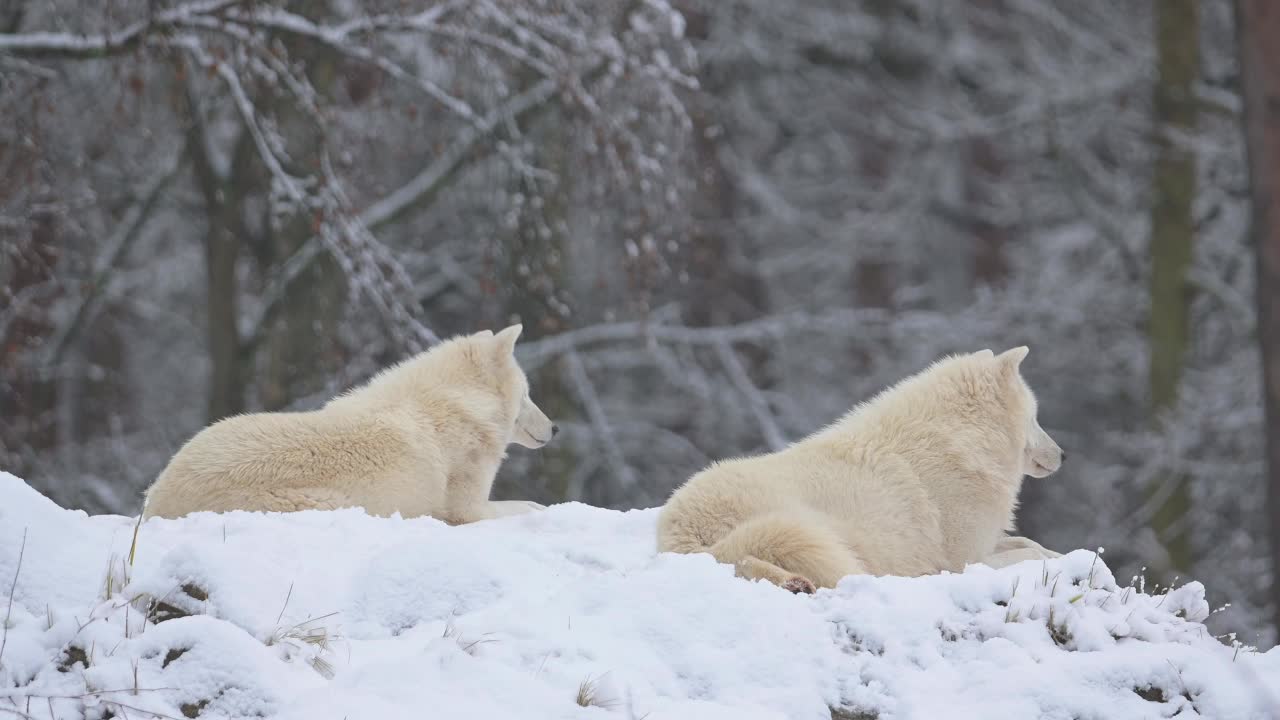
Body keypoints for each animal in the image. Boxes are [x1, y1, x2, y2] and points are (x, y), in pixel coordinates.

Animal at [144, 325, 555, 520]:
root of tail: (154, 504)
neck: (458, 405)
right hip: (327, 504)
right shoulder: (467, 510)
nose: (556, 429)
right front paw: (539, 509)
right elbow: (522, 505)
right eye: (528, 394)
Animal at [655, 345, 1064, 591]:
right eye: (1035, 417)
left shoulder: (987, 543)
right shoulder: (967, 560)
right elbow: (1029, 554)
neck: (960, 441)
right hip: (809, 530)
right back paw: (796, 582)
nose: (1063, 455)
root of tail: (677, 531)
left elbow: (1032, 544)